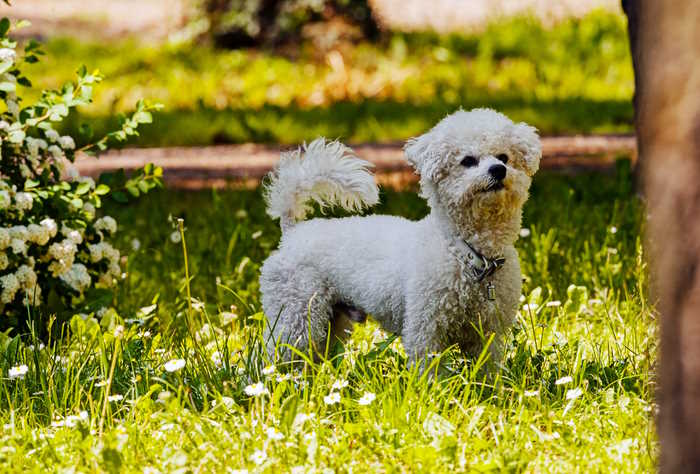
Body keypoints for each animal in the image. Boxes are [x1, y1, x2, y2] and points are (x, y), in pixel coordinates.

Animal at [260, 108, 540, 366]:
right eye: (468, 160)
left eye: (504, 157)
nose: (499, 169)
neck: (466, 253)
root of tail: (293, 232)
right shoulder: (425, 329)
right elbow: (430, 373)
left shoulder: (487, 334)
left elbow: (487, 372)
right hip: (295, 314)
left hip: (330, 323)